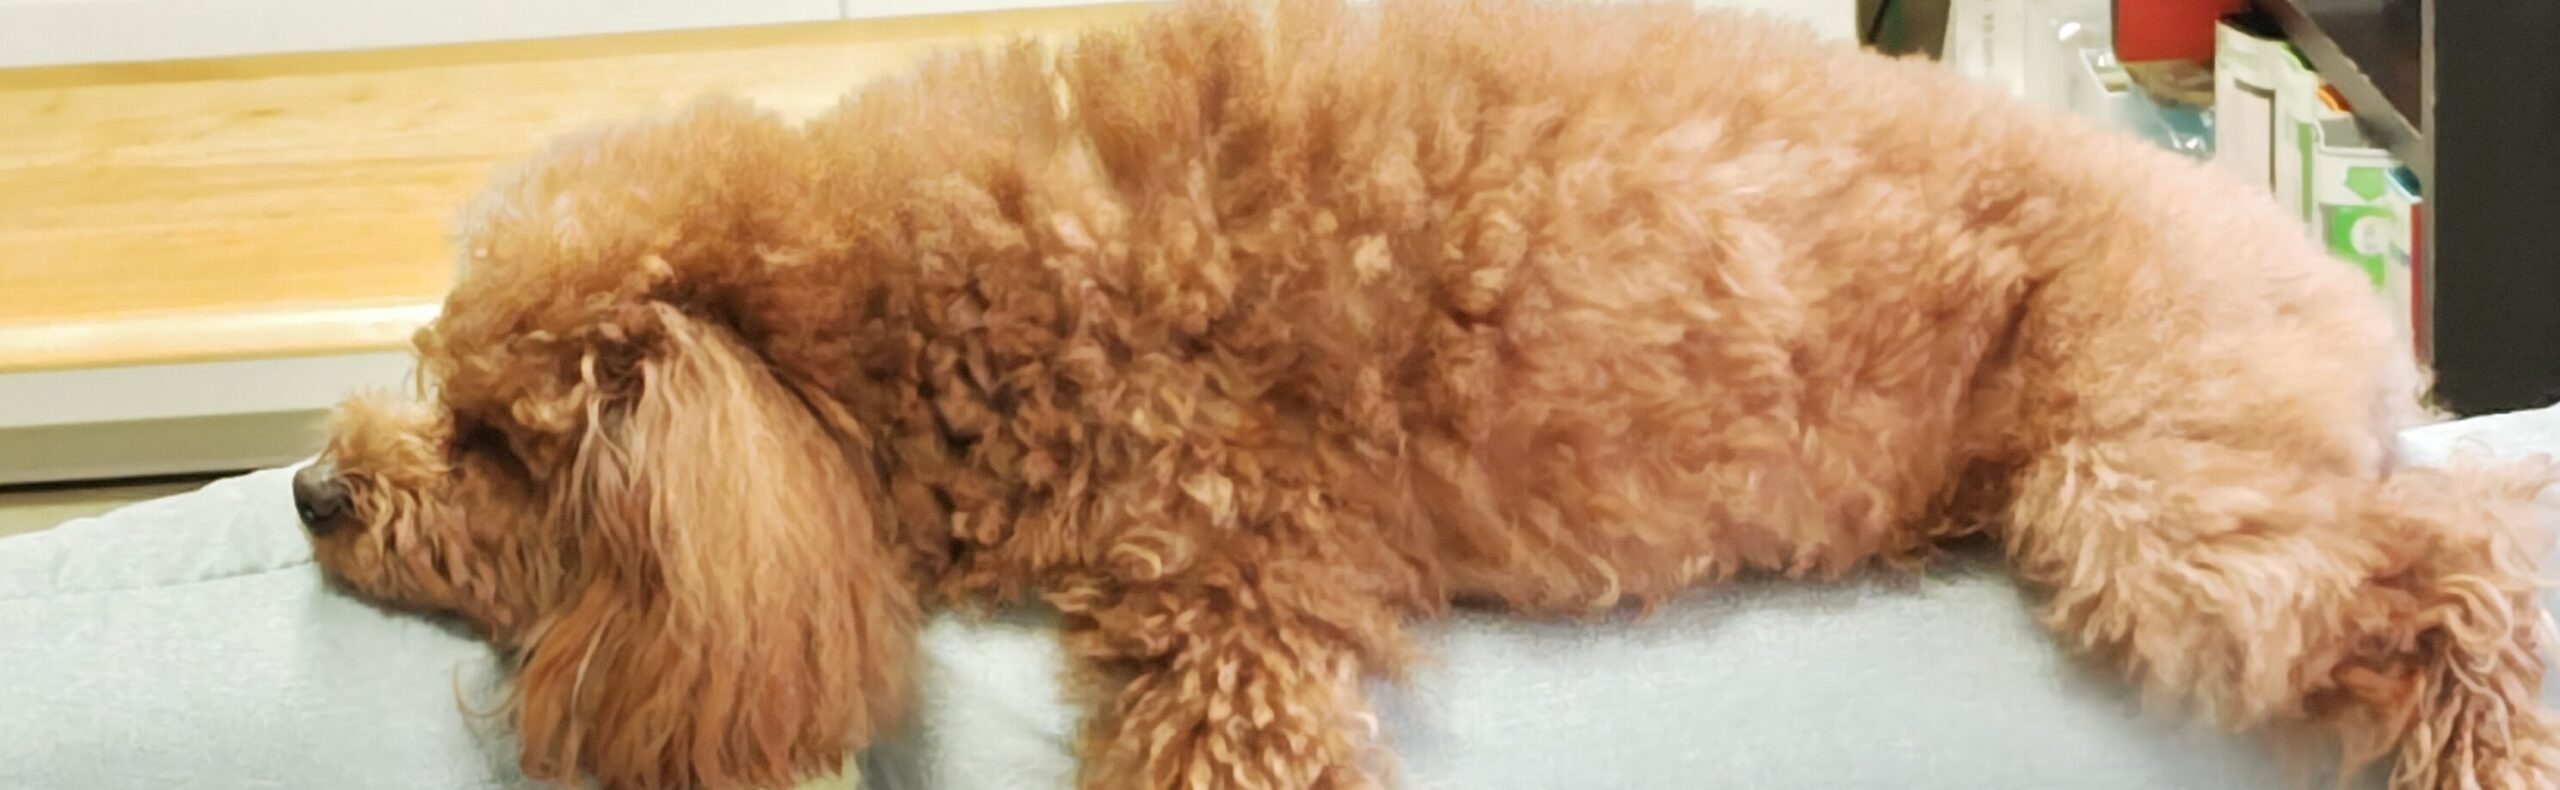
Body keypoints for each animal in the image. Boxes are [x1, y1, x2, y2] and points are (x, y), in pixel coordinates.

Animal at [294, 1, 2560, 787]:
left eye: (496, 443)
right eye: (422, 375)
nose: (314, 494)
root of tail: (2317, 283)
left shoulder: (1232, 615)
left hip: (2157, 501)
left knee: (2461, 563)